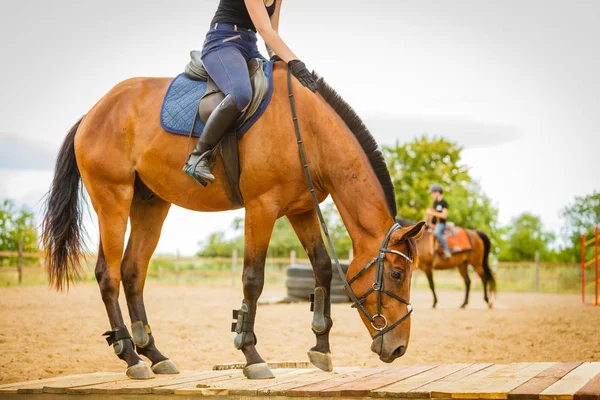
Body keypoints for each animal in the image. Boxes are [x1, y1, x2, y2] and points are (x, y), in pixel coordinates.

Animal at [41, 63, 426, 382]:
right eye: (396, 274)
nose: (399, 347)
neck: (306, 130)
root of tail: (94, 112)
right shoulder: (261, 208)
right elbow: (252, 280)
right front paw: (251, 356)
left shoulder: (300, 210)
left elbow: (322, 269)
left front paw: (321, 348)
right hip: (113, 201)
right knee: (108, 275)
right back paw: (132, 358)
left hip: (151, 205)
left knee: (133, 272)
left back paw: (155, 355)